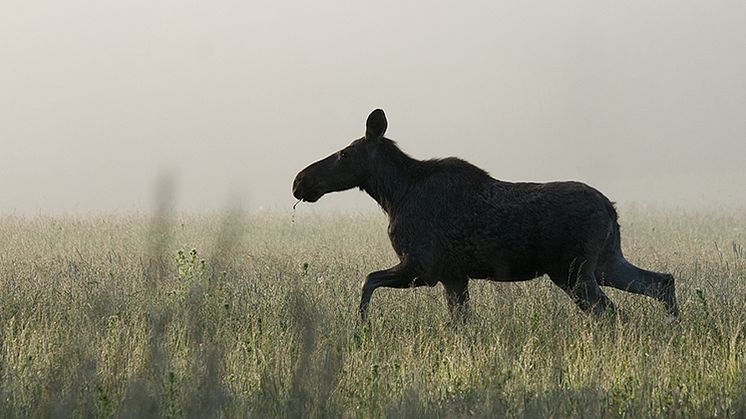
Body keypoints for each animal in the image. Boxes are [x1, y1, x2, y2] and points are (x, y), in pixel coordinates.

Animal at [294, 109, 676, 322]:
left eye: (344, 154)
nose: (300, 181)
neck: (393, 195)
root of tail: (611, 210)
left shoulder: (422, 266)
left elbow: (367, 281)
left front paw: (362, 326)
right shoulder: (453, 276)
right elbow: (460, 324)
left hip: (573, 272)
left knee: (614, 315)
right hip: (605, 262)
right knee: (661, 282)